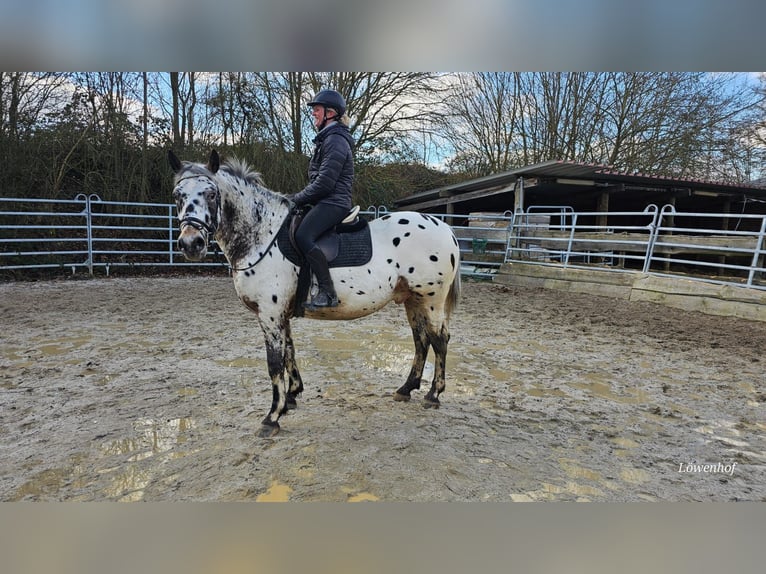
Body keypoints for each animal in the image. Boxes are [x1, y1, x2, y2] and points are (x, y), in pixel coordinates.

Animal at [169, 151, 462, 438]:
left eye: (211, 194)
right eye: (177, 195)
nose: (190, 243)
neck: (263, 236)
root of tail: (444, 228)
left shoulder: (270, 313)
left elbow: (274, 363)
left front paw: (272, 417)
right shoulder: (280, 314)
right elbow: (289, 351)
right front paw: (291, 398)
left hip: (431, 300)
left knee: (439, 340)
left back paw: (433, 394)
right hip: (413, 300)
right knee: (421, 340)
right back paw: (406, 389)